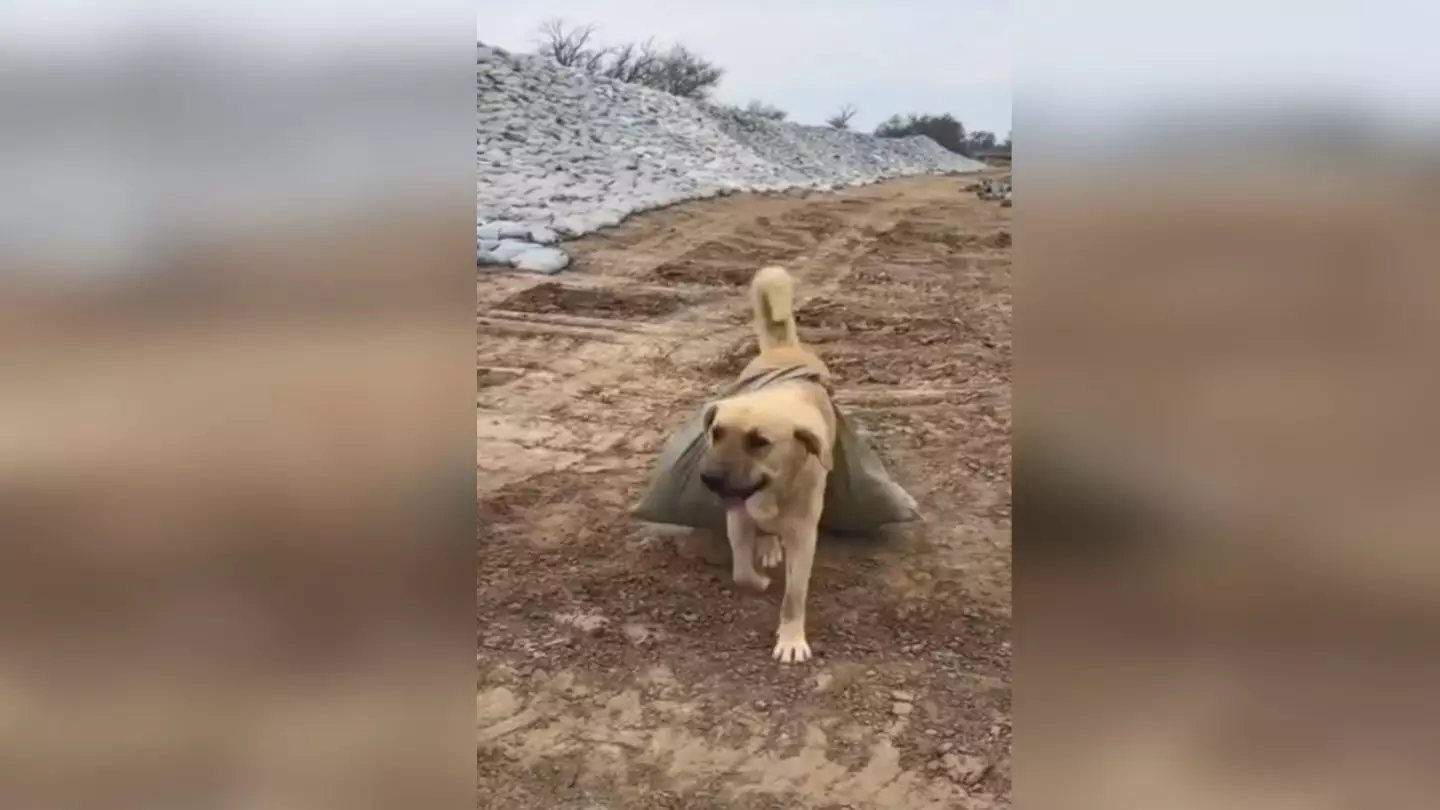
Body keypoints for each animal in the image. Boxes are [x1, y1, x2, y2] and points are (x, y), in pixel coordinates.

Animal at [694, 266, 835, 662]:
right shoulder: (738, 517)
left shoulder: (804, 536)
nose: (709, 478)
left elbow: (794, 595)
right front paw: (758, 579)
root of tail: (782, 349)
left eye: (760, 443)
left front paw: (791, 639)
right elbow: (742, 570)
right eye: (716, 432)